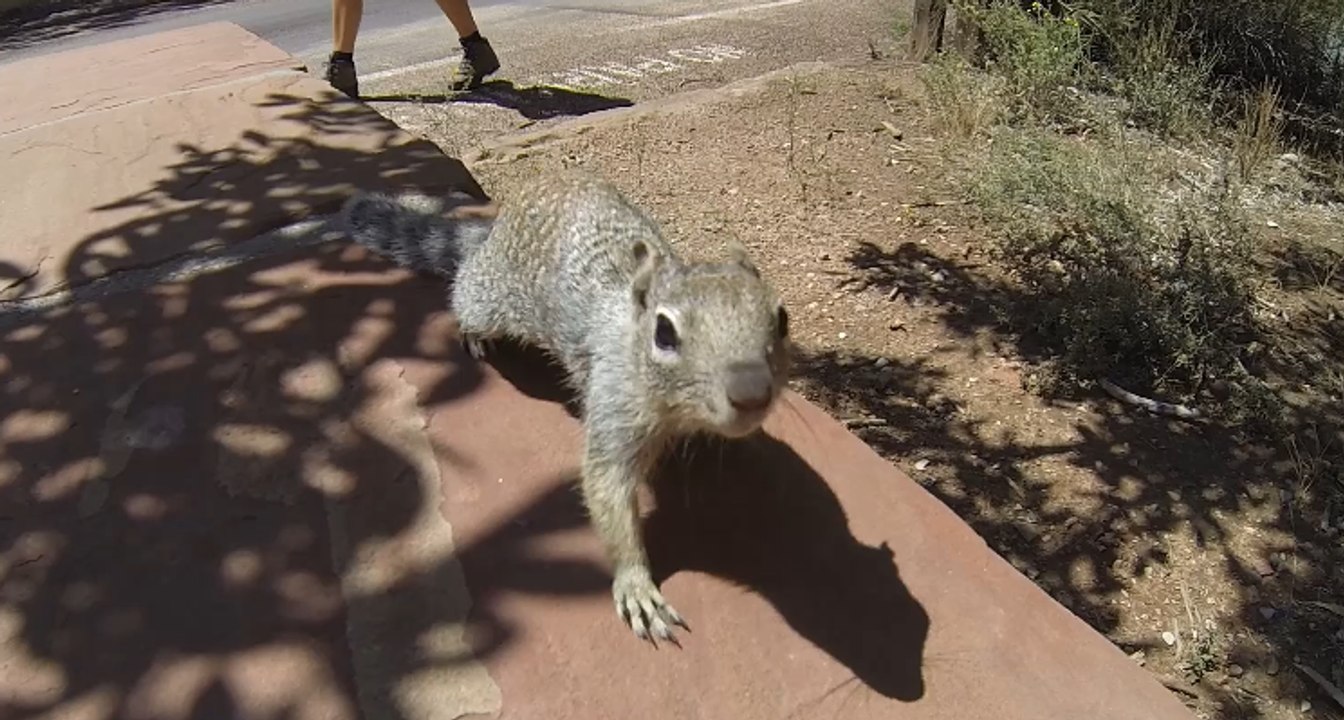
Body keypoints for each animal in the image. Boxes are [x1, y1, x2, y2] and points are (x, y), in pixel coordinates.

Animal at [339, 173, 793, 644]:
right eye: (664, 333)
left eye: (782, 320)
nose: (752, 393)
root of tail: (496, 227)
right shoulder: (613, 407)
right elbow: (607, 491)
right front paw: (636, 584)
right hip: (490, 296)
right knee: (465, 291)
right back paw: (471, 330)